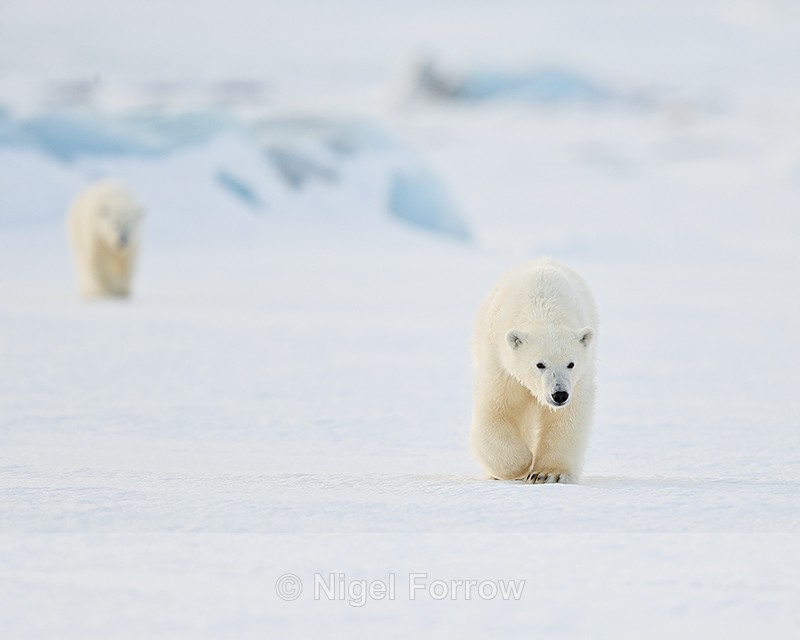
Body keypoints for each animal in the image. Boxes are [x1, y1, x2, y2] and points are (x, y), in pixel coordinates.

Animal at [470, 257, 598, 484]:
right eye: (540, 364)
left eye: (570, 364)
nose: (559, 394)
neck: (543, 307)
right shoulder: (501, 364)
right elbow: (496, 408)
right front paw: (521, 463)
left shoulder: (579, 379)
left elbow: (568, 416)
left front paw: (548, 473)